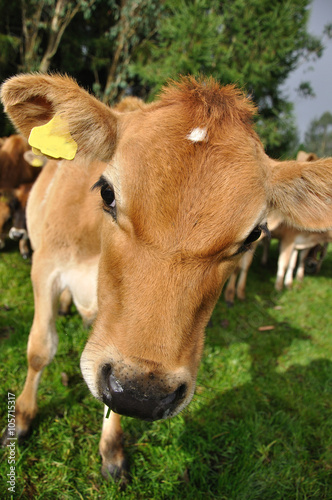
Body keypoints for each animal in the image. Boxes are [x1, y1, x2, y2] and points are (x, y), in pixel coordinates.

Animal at [1, 73, 332, 476]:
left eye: (254, 234)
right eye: (107, 191)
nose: (143, 393)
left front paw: (112, 447)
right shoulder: (45, 266)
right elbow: (40, 349)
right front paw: (23, 419)